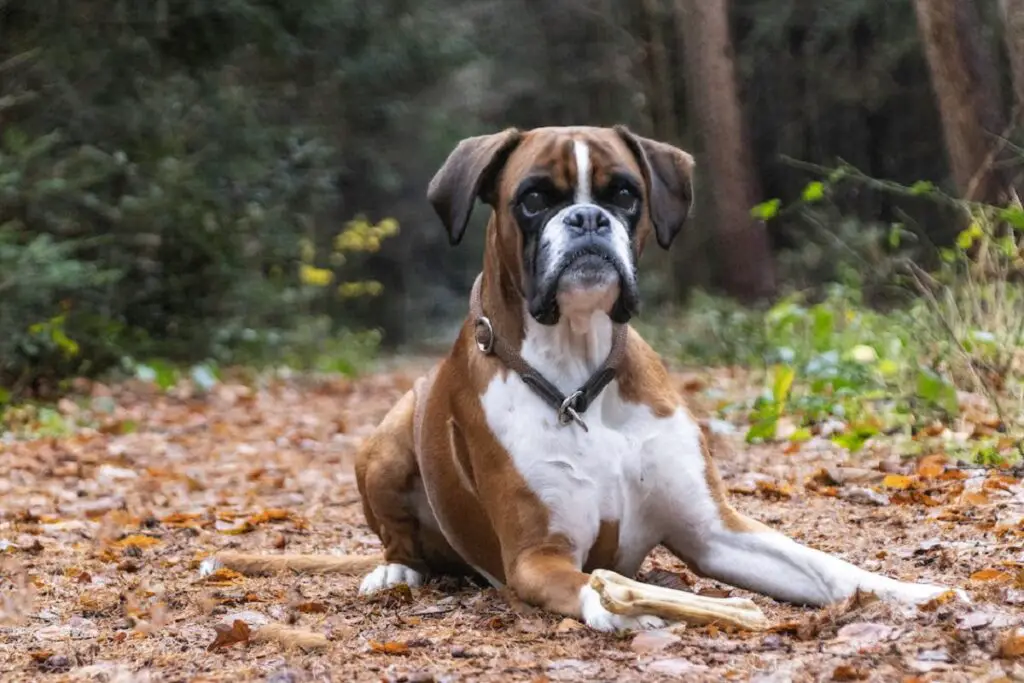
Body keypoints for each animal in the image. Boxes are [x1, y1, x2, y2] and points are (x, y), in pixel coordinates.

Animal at [352, 126, 958, 630]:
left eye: (624, 195)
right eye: (533, 200)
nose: (588, 219)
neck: (579, 379)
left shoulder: (714, 533)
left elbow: (824, 566)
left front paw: (909, 591)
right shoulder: (537, 558)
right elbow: (590, 584)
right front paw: (635, 609)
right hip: (386, 439)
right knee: (399, 541)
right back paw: (395, 573)